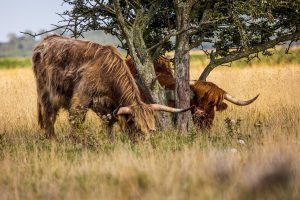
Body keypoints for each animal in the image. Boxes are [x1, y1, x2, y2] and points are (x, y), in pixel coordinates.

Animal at [31, 35, 191, 139]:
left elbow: (109, 123)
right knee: (49, 116)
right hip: (46, 93)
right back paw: (51, 139)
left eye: (151, 129)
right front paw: (74, 142)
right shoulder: (81, 99)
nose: (146, 145)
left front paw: (110, 141)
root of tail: (46, 40)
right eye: (137, 128)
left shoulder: (110, 106)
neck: (107, 72)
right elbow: (76, 120)